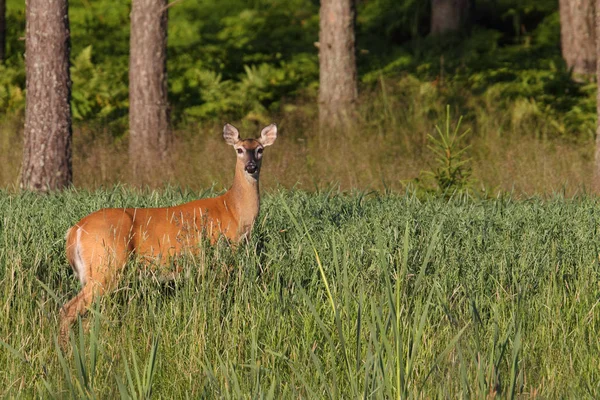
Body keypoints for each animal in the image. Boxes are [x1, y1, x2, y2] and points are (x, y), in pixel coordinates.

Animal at [59, 123, 278, 346]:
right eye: (239, 150)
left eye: (260, 149)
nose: (250, 167)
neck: (232, 210)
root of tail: (75, 230)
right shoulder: (221, 258)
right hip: (106, 265)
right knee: (68, 309)